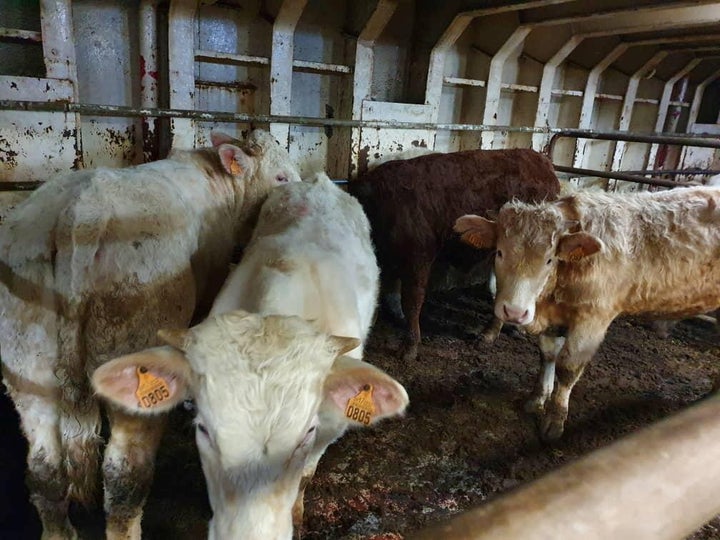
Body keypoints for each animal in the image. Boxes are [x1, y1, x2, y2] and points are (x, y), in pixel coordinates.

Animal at [456, 188, 720, 440]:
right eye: (499, 252)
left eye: (549, 260)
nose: (514, 311)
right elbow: (547, 355)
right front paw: (538, 399)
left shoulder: (594, 318)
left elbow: (568, 368)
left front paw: (554, 421)